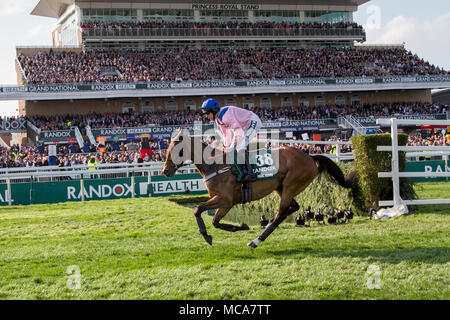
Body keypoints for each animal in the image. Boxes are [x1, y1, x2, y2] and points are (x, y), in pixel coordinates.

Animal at [161, 129, 356, 249]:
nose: (165, 171)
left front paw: (213, 234)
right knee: (292, 208)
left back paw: (256, 240)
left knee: (281, 213)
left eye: (176, 149)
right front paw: (239, 226)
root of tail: (309, 156)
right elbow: (213, 220)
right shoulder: (222, 202)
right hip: (281, 187)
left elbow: (199, 210)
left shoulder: (226, 200)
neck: (215, 164)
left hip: (291, 184)